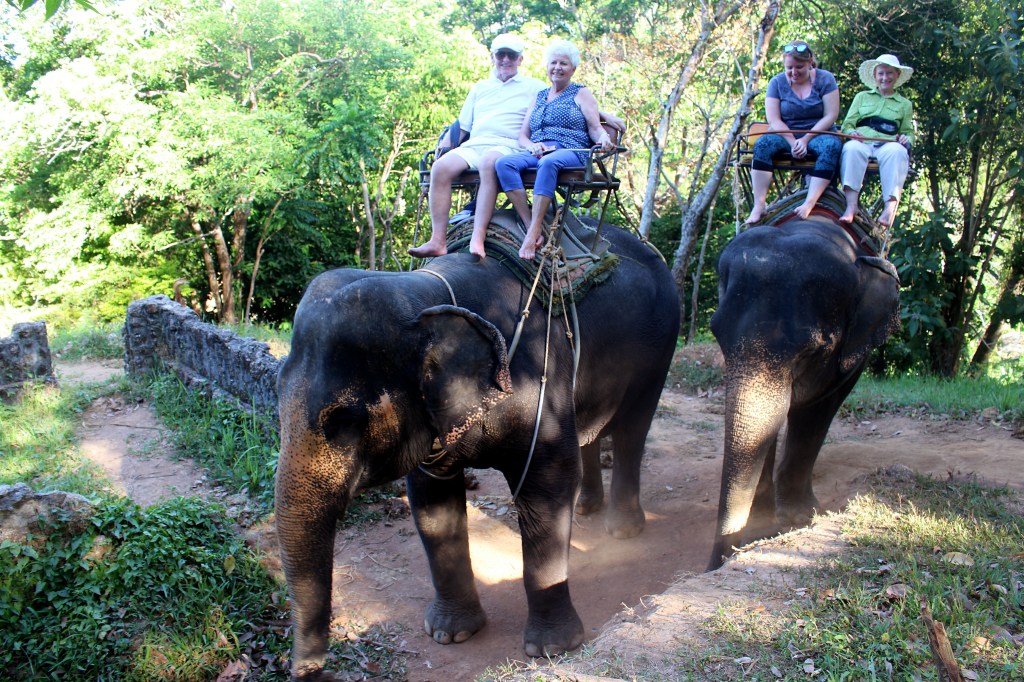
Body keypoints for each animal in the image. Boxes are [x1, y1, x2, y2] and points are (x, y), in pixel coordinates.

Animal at [275, 223, 679, 680]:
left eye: (345, 420)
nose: (309, 670)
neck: (428, 294)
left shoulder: (540, 379)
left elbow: (548, 485)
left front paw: (552, 649)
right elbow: (432, 503)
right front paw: (450, 635)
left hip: (659, 347)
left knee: (632, 429)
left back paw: (622, 529)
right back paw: (587, 509)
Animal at [707, 215, 900, 570]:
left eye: (810, 352)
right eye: (718, 337)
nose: (726, 560)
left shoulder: (854, 352)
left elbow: (817, 410)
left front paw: (799, 520)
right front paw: (762, 526)